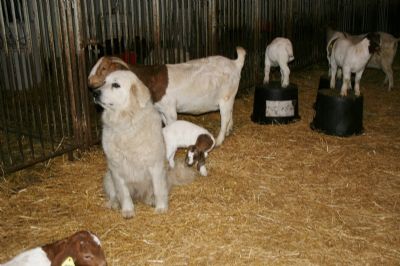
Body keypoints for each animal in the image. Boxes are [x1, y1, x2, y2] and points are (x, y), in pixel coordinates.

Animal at [88, 47, 245, 148]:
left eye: (103, 68)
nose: (89, 81)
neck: (149, 79)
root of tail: (235, 63)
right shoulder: (161, 110)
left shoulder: (169, 109)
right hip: (229, 97)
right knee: (230, 113)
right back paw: (229, 130)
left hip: (225, 97)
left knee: (225, 117)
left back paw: (219, 140)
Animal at [93, 69, 194, 217]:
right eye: (104, 82)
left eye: (116, 85)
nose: (95, 93)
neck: (127, 124)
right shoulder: (116, 169)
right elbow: (123, 193)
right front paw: (128, 210)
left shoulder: (155, 166)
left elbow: (158, 190)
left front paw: (161, 207)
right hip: (108, 177)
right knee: (114, 195)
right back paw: (113, 203)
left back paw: (151, 200)